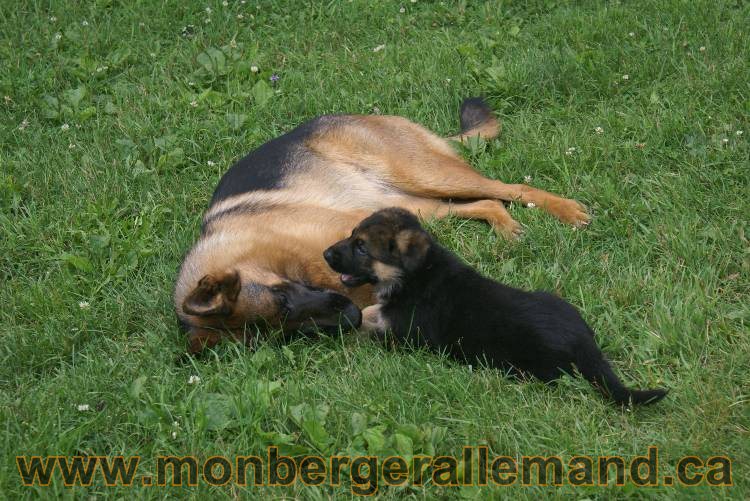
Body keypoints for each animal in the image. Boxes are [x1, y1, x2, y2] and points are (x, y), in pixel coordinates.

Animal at [176, 97, 592, 352]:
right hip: (413, 204)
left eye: (282, 300)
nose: (350, 319)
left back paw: (567, 211)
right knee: (488, 203)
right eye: (286, 332)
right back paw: (506, 229)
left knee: (510, 188)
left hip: (425, 175)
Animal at [326, 208, 668, 406]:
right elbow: (369, 313)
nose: (326, 253)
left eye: (361, 247)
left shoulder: (404, 337)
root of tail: (586, 344)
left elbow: (367, 324)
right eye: (351, 236)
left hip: (526, 365)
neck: (415, 274)